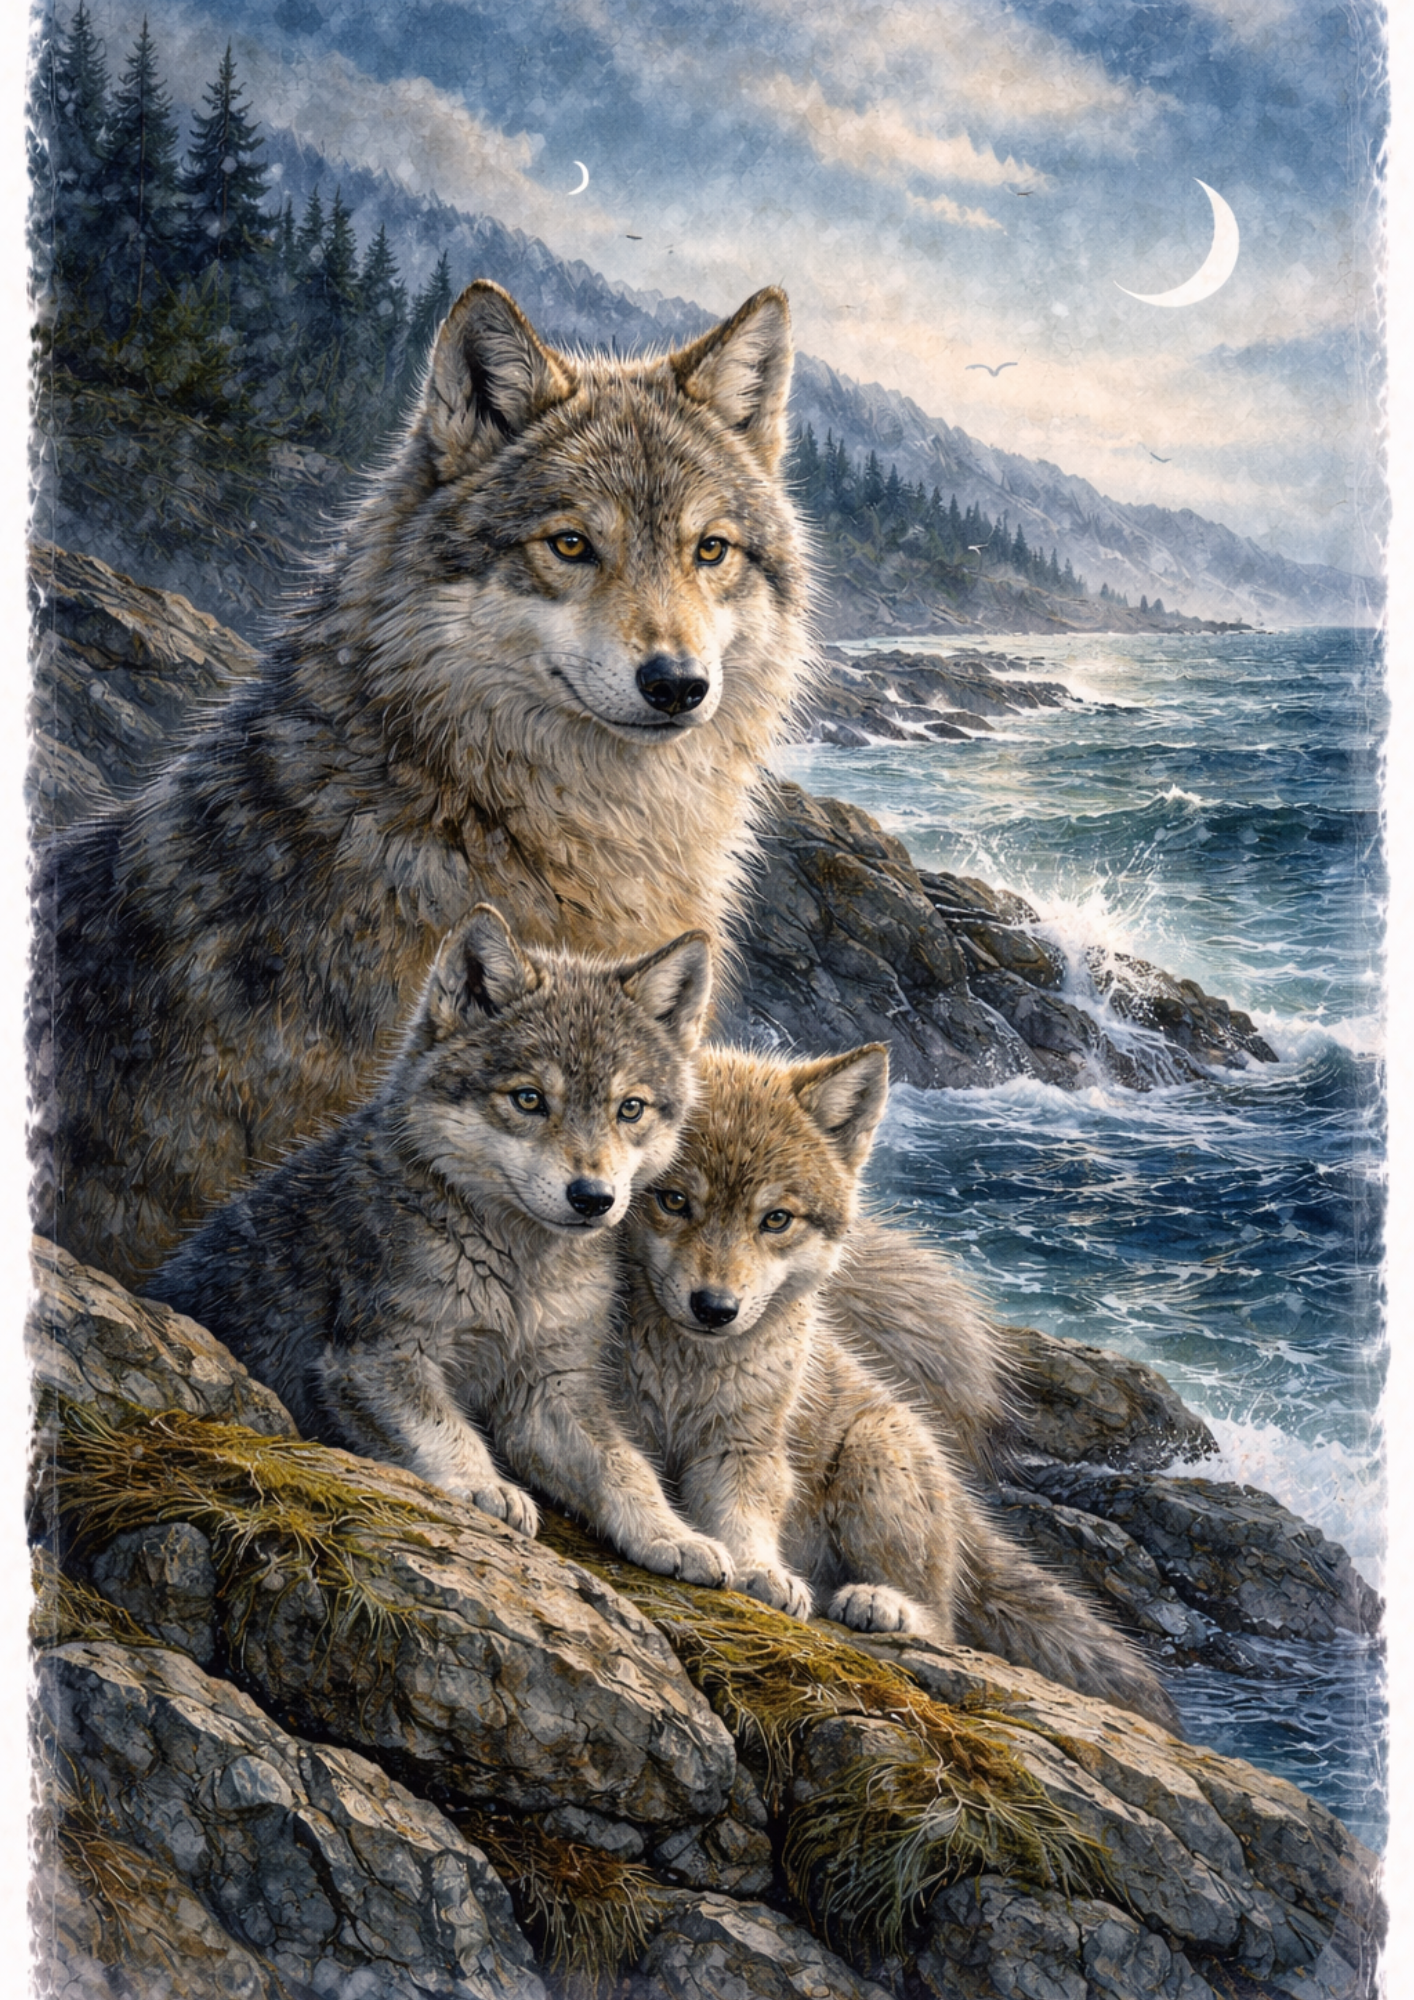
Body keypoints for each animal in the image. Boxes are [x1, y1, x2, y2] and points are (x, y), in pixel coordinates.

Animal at [146, 905, 735, 1586]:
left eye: (630, 1109)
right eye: (529, 1099)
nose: (593, 1197)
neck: (520, 1274)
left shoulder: (550, 1387)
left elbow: (626, 1470)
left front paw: (675, 1537)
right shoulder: (379, 1358)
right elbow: (447, 1431)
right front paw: (487, 1488)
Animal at [613, 1043, 1179, 1729]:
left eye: (775, 1219)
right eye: (673, 1201)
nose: (715, 1308)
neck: (686, 1368)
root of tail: (961, 1496)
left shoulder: (745, 1451)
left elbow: (742, 1521)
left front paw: (760, 1573)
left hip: (875, 1451)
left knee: (943, 1625)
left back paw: (879, 1603)